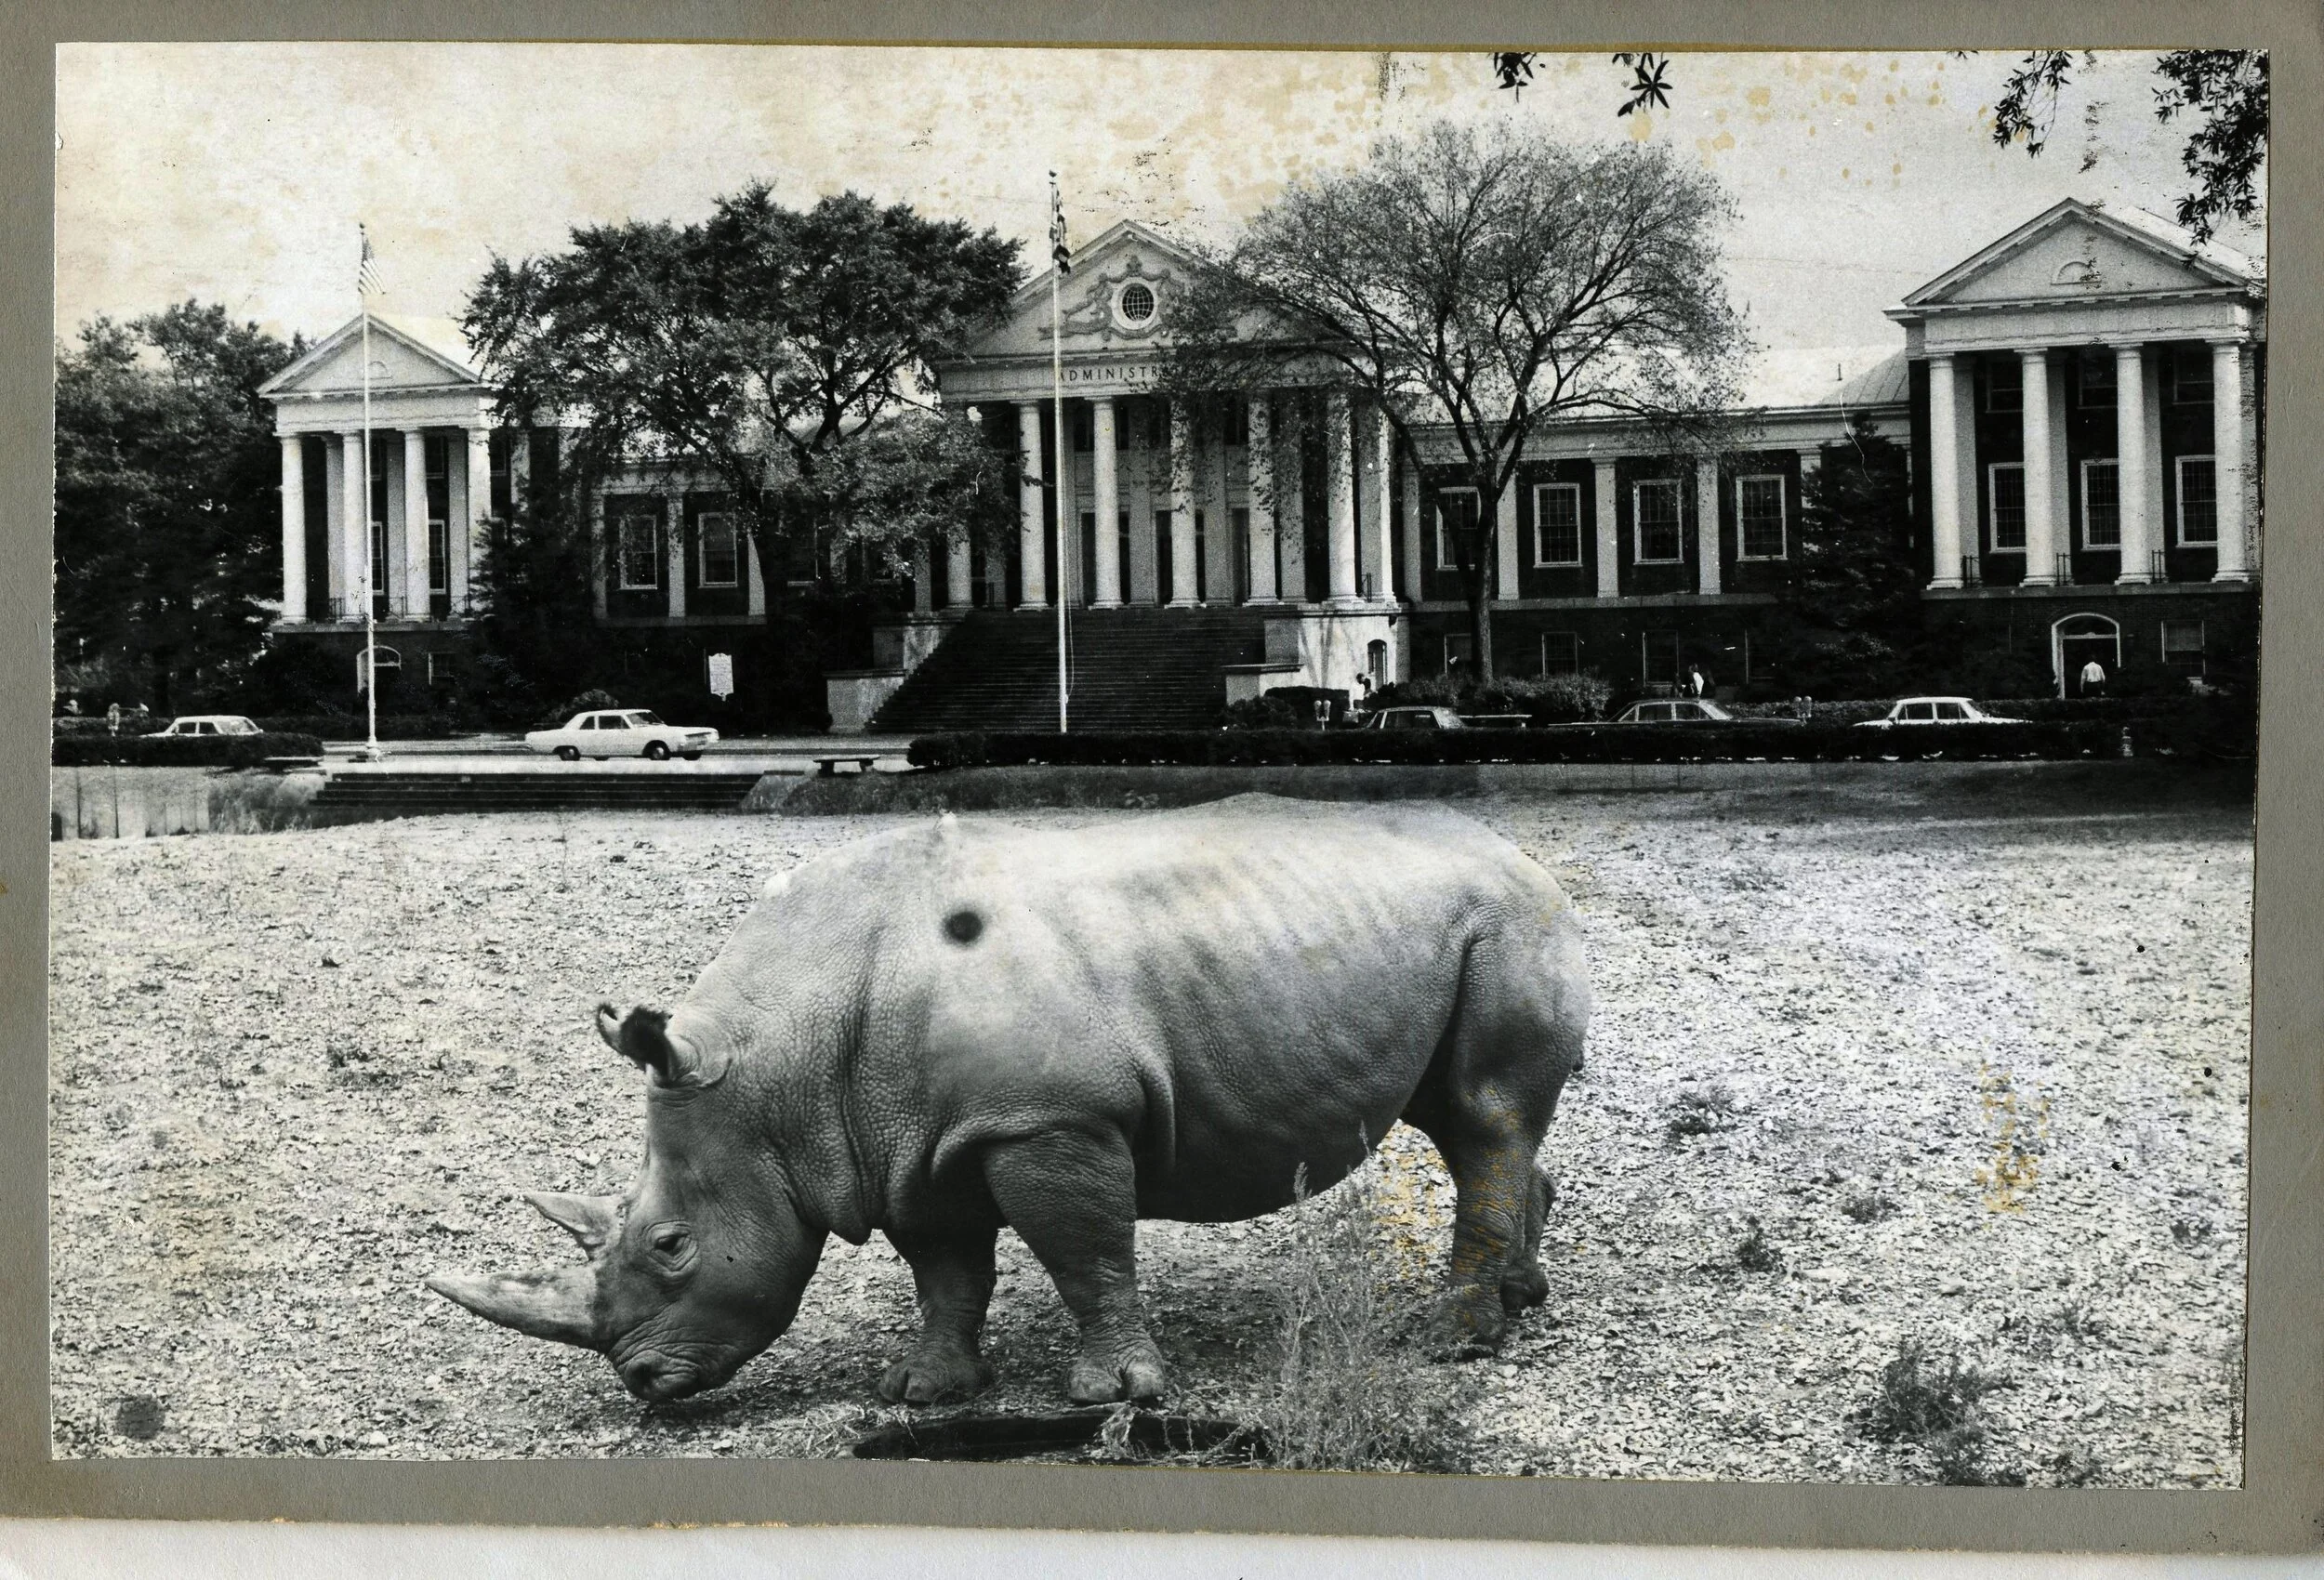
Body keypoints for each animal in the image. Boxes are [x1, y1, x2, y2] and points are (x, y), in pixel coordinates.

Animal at [427, 796, 1591, 1406]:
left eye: (671, 1245)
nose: (642, 1382)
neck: (780, 1059)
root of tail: (1527, 852)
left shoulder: (1048, 1118)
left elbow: (1085, 1250)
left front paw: (1114, 1393)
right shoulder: (905, 1138)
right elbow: (947, 1270)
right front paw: (926, 1391)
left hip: (1509, 920)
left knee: (1480, 1115)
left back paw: (1454, 1341)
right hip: (1456, 926)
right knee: (1464, 1119)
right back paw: (1521, 1300)